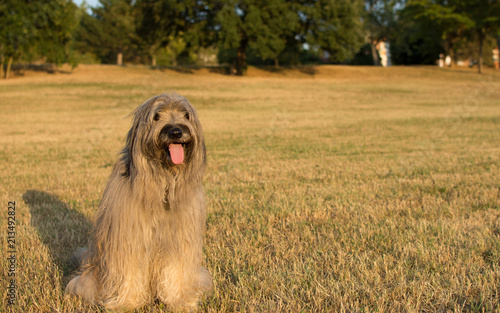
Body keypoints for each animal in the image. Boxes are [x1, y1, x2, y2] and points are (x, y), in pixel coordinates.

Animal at [66, 92, 211, 310]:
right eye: (156, 116)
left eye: (186, 115)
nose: (176, 132)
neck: (163, 181)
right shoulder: (128, 238)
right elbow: (129, 270)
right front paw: (127, 303)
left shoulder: (179, 238)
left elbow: (176, 268)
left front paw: (179, 300)